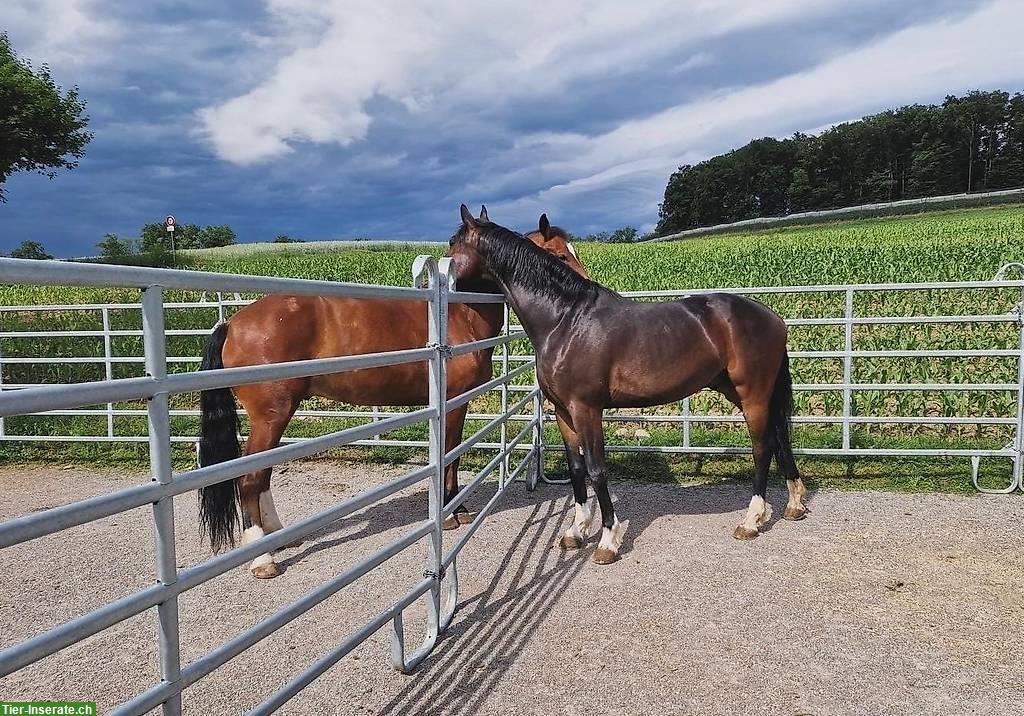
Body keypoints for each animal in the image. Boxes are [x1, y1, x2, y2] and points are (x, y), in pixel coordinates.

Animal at [195, 209, 589, 581]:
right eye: (559, 255)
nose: (586, 292)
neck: (457, 314)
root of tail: (233, 323)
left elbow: (454, 454)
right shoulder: (451, 404)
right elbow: (449, 454)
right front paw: (450, 512)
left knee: (261, 475)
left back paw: (279, 536)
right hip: (271, 416)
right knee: (249, 479)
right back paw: (263, 558)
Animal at [448, 205, 806, 565]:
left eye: (452, 242)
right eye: (563, 254)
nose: (447, 275)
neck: (565, 320)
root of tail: (773, 317)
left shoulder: (586, 409)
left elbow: (597, 470)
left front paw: (608, 540)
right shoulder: (563, 412)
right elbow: (576, 469)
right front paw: (575, 532)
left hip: (753, 395)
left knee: (763, 447)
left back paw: (751, 521)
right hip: (745, 392)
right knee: (779, 438)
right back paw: (793, 504)